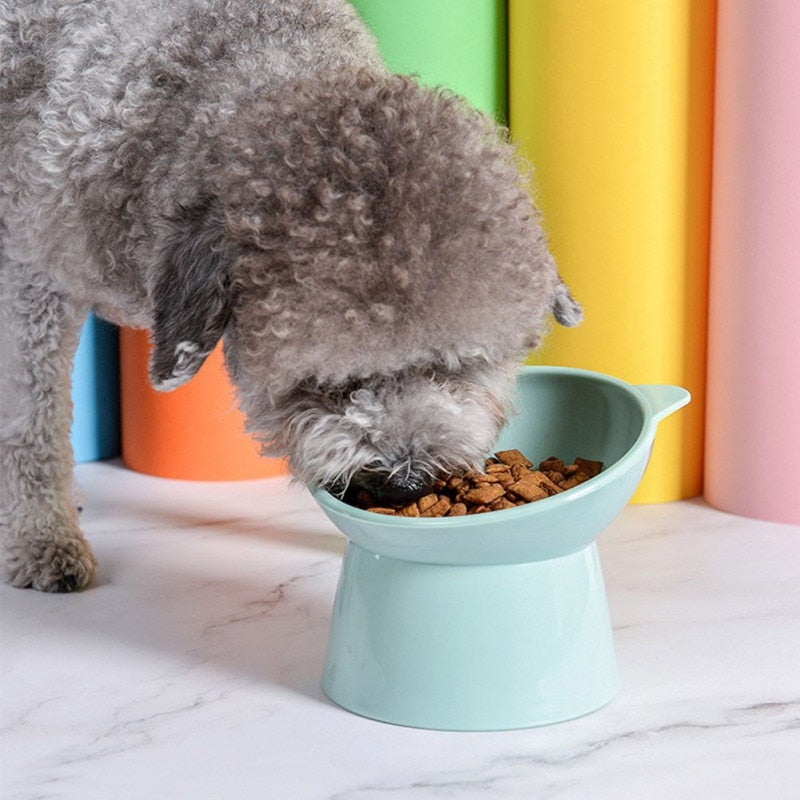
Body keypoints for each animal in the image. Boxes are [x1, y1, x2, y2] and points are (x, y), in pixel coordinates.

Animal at [0, 0, 580, 592]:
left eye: (455, 367)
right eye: (328, 384)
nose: (405, 484)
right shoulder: (31, 280)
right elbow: (32, 424)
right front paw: (43, 538)